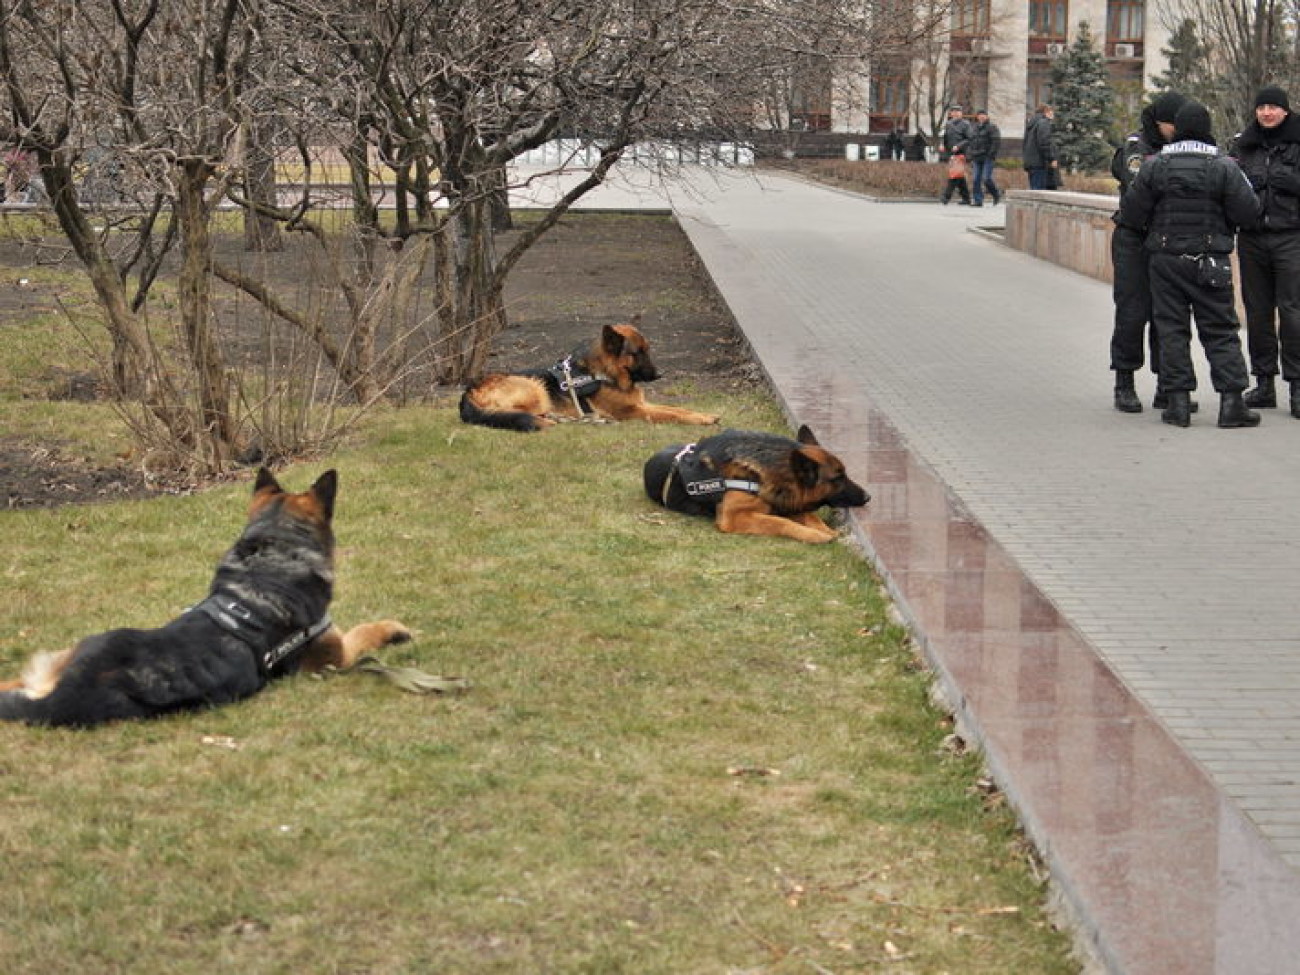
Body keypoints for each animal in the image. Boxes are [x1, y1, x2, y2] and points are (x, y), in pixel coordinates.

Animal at [457, 322, 722, 434]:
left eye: (648, 350)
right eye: (637, 353)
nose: (660, 374)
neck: (605, 374)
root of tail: (468, 392)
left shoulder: (641, 404)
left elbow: (678, 409)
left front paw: (704, 415)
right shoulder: (634, 411)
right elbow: (672, 414)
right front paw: (702, 420)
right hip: (534, 388)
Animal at [642, 426, 868, 546]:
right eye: (838, 478)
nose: (868, 497)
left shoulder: (784, 501)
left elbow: (809, 516)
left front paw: (824, 529)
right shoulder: (735, 517)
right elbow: (780, 522)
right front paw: (814, 535)